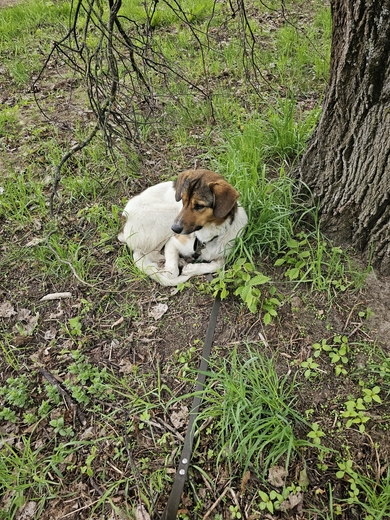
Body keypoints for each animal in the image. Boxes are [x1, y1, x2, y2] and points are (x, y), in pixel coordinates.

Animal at [117, 170, 248, 284]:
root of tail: (124, 230)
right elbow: (172, 273)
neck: (205, 237)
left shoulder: (223, 253)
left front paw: (191, 269)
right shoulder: (173, 241)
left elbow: (218, 265)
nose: (174, 229)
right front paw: (172, 269)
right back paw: (177, 261)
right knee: (152, 254)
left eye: (199, 206)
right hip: (168, 217)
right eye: (182, 201)